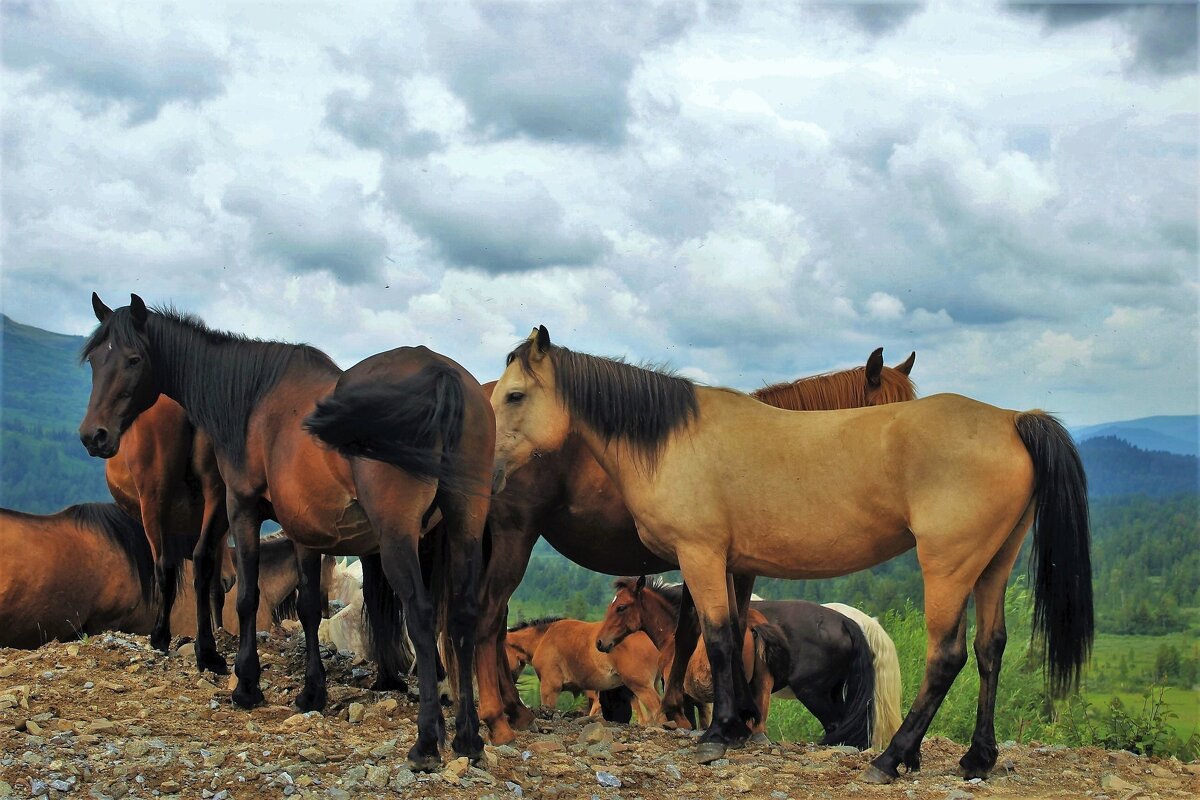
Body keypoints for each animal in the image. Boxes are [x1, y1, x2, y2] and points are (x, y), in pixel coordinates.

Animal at [105, 398, 234, 671]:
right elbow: (212, 585)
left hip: (155, 496)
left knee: (165, 569)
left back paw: (161, 636)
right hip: (216, 489)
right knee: (204, 563)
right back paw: (207, 650)